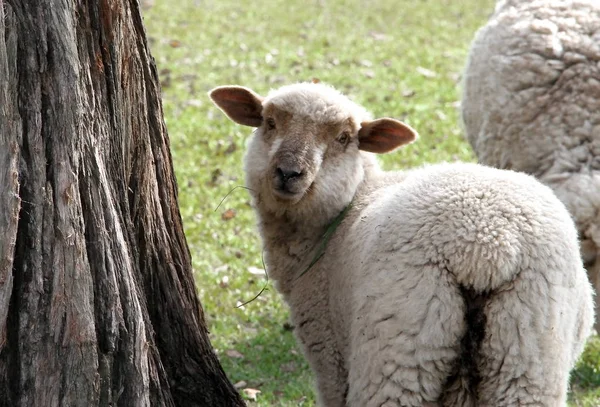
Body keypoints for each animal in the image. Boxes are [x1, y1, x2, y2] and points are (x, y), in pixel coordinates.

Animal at [209, 81, 592, 406]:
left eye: (344, 137)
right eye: (269, 122)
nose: (288, 173)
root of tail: (486, 245)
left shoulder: (329, 354)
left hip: (399, 346)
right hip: (528, 353)